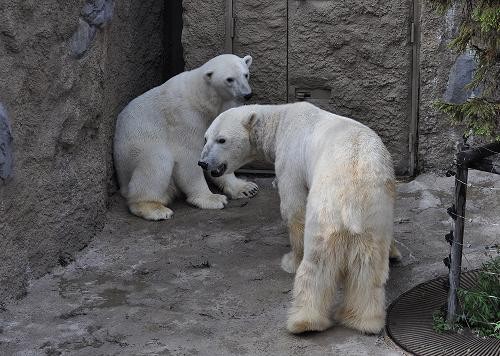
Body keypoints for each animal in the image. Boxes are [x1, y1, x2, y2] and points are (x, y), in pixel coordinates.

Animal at [113, 54, 258, 220]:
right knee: (157, 161)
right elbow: (188, 158)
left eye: (246, 74)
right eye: (229, 79)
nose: (247, 94)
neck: (203, 98)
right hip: (134, 153)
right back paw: (154, 208)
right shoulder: (186, 119)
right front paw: (212, 199)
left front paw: (246, 187)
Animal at [199, 102, 402, 334]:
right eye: (205, 138)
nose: (203, 163)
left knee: (317, 263)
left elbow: (293, 208)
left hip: (326, 208)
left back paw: (304, 321)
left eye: (222, 139)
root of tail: (352, 202)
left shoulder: (290, 159)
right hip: (374, 209)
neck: (278, 121)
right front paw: (394, 253)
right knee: (368, 265)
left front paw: (290, 261)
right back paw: (362, 320)